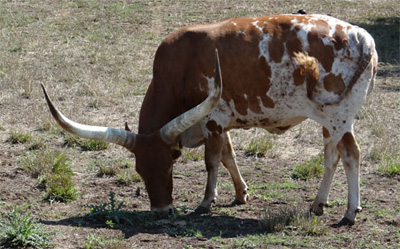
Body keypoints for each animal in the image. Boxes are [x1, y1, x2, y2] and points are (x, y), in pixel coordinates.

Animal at [41, 14, 378, 228]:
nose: (162, 211)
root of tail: (362, 36)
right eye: (139, 170)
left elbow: (213, 161)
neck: (177, 71)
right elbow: (229, 156)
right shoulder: (216, 121)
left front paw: (206, 202)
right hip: (332, 120)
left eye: (169, 165)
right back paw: (322, 204)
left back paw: (348, 211)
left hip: (338, 116)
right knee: (335, 156)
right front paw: (241, 193)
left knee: (349, 155)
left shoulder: (213, 118)